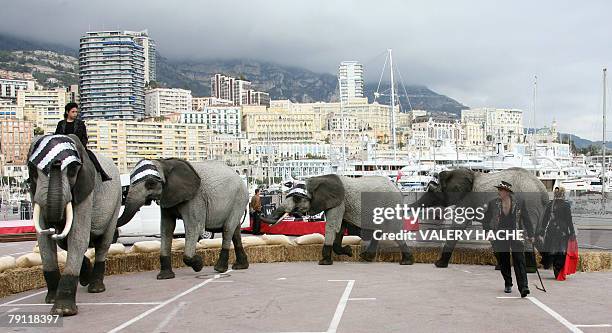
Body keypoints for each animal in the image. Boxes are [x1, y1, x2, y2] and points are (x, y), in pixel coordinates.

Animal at [27, 134, 122, 316]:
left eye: (72, 171)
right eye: (33, 171)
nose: (56, 162)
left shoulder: (86, 189)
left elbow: (77, 238)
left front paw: (63, 311)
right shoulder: (33, 191)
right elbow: (44, 241)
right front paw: (51, 300)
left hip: (116, 201)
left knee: (103, 243)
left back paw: (96, 288)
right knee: (64, 242)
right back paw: (85, 276)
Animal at [116, 158, 250, 274]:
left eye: (150, 184)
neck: (164, 162)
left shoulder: (196, 198)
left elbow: (193, 227)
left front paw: (199, 264)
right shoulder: (167, 197)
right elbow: (166, 228)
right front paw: (164, 276)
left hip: (239, 199)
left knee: (227, 229)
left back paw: (219, 269)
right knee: (235, 231)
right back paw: (240, 266)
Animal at [266, 174, 414, 264]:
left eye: (297, 198)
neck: (316, 179)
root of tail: (397, 188)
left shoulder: (339, 201)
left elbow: (332, 226)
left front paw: (324, 262)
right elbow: (340, 228)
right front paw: (348, 251)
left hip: (391, 204)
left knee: (393, 230)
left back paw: (406, 262)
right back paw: (366, 257)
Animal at [408, 167, 548, 268]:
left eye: (432, 191)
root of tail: (543, 191)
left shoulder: (467, 199)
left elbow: (459, 224)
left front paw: (439, 265)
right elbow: (488, 228)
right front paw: (499, 266)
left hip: (529, 204)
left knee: (527, 234)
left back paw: (530, 269)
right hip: (537, 209)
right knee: (538, 234)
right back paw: (547, 266)